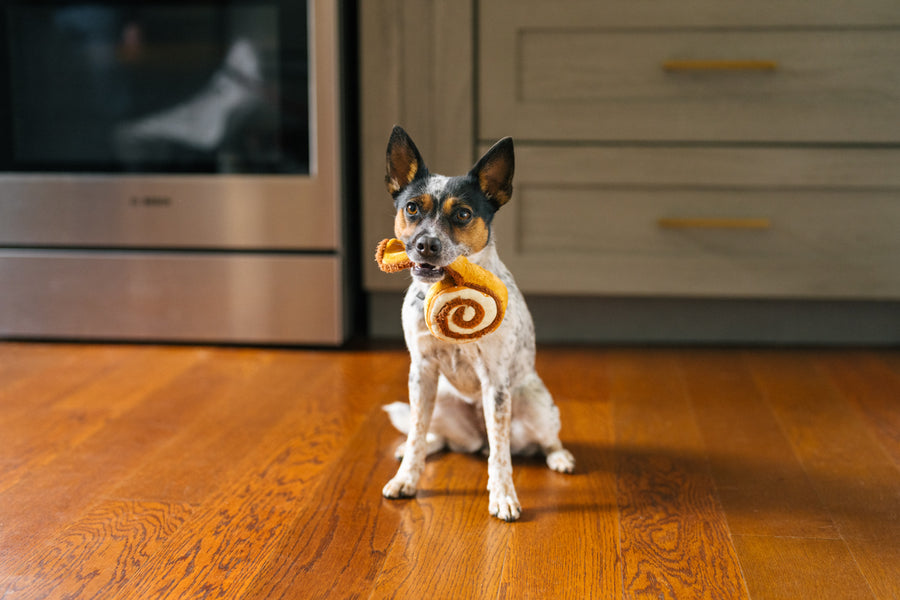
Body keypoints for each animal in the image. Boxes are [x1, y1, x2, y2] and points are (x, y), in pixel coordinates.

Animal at [382, 126, 576, 520]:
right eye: (412, 208)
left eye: (463, 214)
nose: (426, 245)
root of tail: (476, 437)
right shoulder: (422, 372)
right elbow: (416, 433)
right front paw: (406, 478)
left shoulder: (495, 382)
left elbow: (501, 455)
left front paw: (503, 496)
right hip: (441, 399)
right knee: (435, 434)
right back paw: (422, 444)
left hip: (534, 404)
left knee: (542, 441)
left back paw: (560, 457)